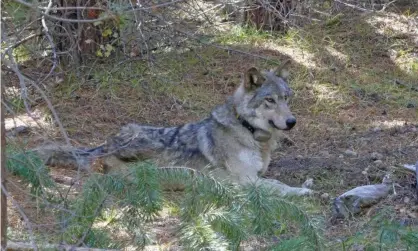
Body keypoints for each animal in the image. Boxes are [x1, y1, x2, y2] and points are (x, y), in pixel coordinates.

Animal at [37, 60, 314, 196]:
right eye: (270, 100)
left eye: (286, 98)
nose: (292, 122)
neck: (249, 132)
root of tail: (105, 144)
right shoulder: (246, 181)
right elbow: (278, 187)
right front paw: (302, 191)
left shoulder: (256, 175)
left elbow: (274, 180)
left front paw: (306, 183)